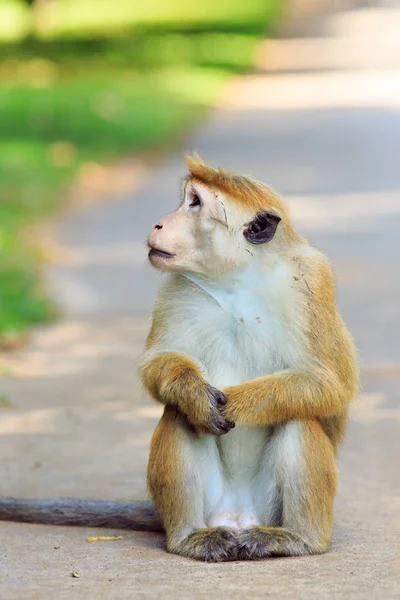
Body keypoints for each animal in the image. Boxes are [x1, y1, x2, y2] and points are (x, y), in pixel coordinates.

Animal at [0, 155, 358, 564]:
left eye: (195, 203)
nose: (159, 223)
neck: (237, 279)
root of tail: (238, 516)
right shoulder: (176, 286)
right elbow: (158, 364)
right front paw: (194, 393)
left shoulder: (313, 283)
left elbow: (331, 384)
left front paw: (237, 404)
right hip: (214, 506)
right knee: (179, 416)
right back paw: (190, 535)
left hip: (268, 506)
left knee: (298, 415)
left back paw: (298, 538)